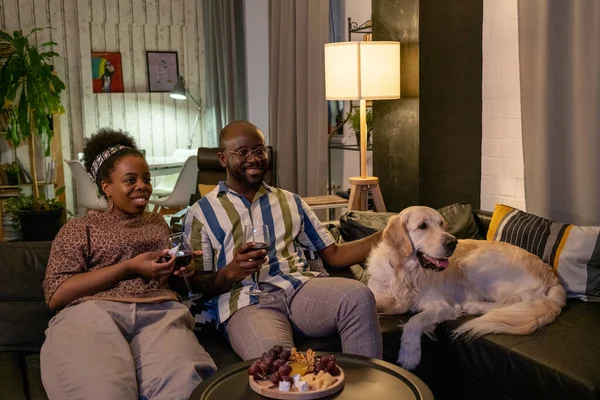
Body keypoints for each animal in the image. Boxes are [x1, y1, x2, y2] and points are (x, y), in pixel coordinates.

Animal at [366, 208, 568, 370]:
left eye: (442, 224)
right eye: (422, 226)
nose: (452, 242)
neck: (405, 273)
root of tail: (551, 273)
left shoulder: (441, 306)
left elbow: (415, 320)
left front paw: (409, 354)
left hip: (474, 262)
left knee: (513, 301)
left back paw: (471, 306)